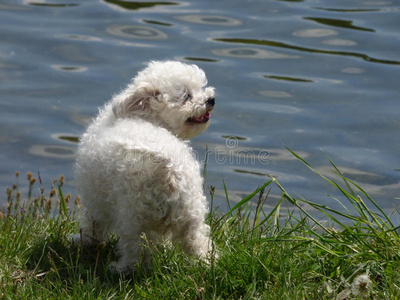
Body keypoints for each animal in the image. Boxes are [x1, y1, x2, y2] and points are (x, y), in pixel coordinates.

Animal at [72, 59, 216, 274]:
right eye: (186, 96)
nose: (211, 99)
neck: (144, 118)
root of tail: (168, 166)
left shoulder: (97, 200)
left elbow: (93, 226)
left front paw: (84, 242)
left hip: (132, 216)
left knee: (134, 250)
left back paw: (120, 268)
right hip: (191, 212)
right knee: (197, 243)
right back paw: (205, 264)